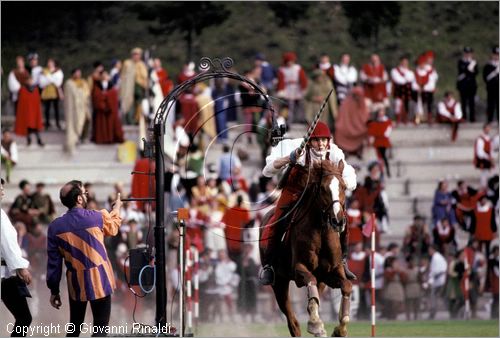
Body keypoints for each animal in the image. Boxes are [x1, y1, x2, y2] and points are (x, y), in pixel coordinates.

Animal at [260, 160, 354, 336]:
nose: (338, 221)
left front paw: (340, 329)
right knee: (292, 322)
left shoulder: (331, 272)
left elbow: (346, 286)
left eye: (344, 187)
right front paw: (316, 324)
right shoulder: (300, 269)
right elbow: (310, 282)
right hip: (279, 283)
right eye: (323, 188)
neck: (321, 232)